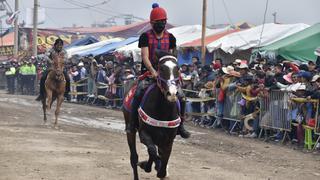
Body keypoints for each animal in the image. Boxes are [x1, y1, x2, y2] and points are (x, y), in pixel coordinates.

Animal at [123, 51, 181, 179]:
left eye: (178, 68)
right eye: (161, 68)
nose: (172, 94)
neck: (162, 112)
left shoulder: (169, 140)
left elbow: (163, 163)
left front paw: (159, 167)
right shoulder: (144, 134)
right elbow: (153, 152)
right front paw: (148, 165)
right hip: (131, 129)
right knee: (134, 158)